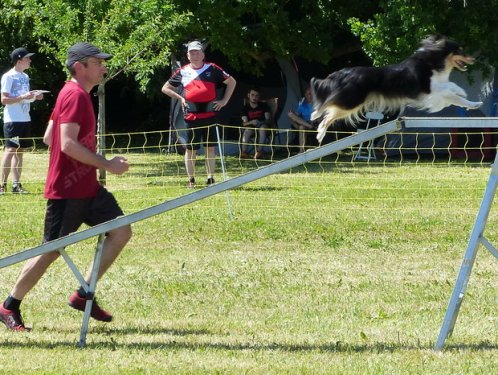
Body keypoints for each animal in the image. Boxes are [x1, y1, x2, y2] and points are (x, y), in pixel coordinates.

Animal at [312, 34, 482, 143]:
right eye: (459, 50)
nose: (474, 59)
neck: (433, 61)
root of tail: (342, 72)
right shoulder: (430, 89)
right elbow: (452, 87)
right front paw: (461, 90)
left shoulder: (438, 93)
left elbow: (458, 99)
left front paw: (474, 104)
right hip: (352, 100)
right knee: (326, 107)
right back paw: (315, 116)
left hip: (352, 103)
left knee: (329, 115)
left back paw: (320, 134)